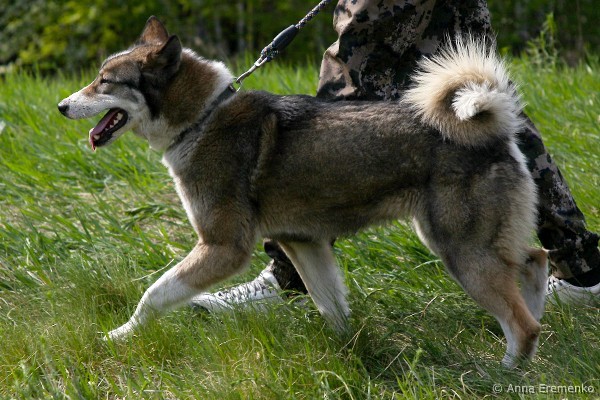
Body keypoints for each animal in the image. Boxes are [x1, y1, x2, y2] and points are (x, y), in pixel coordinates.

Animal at [58, 16, 548, 367]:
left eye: (105, 81)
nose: (62, 106)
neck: (203, 117)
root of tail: (496, 130)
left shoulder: (222, 247)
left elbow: (154, 295)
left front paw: (118, 336)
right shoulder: (304, 243)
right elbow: (331, 306)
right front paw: (349, 350)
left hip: (459, 250)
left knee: (522, 324)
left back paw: (504, 371)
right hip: (475, 243)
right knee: (534, 261)